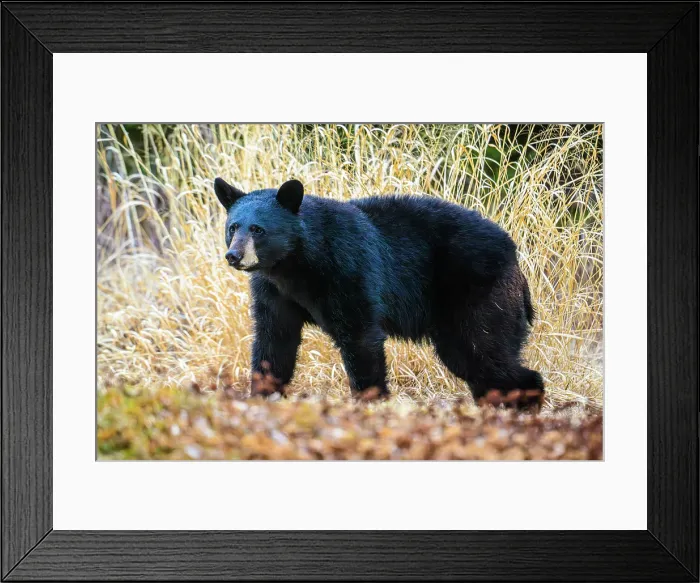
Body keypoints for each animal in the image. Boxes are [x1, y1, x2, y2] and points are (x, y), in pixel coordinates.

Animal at [214, 177, 544, 407]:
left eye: (258, 229)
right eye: (233, 227)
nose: (234, 256)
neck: (296, 263)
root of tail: (514, 255)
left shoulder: (348, 269)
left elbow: (360, 337)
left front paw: (369, 404)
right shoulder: (273, 291)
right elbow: (274, 340)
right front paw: (261, 397)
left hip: (477, 293)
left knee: (482, 348)